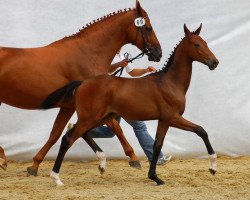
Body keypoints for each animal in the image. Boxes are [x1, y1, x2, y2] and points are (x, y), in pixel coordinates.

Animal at [41, 23, 219, 186]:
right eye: (197, 44)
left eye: (205, 43)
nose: (215, 62)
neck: (169, 83)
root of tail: (83, 83)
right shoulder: (172, 118)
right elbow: (201, 131)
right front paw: (213, 168)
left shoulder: (163, 120)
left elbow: (157, 145)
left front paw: (154, 177)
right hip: (90, 118)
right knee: (68, 139)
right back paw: (56, 178)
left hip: (101, 118)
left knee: (82, 134)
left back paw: (102, 164)